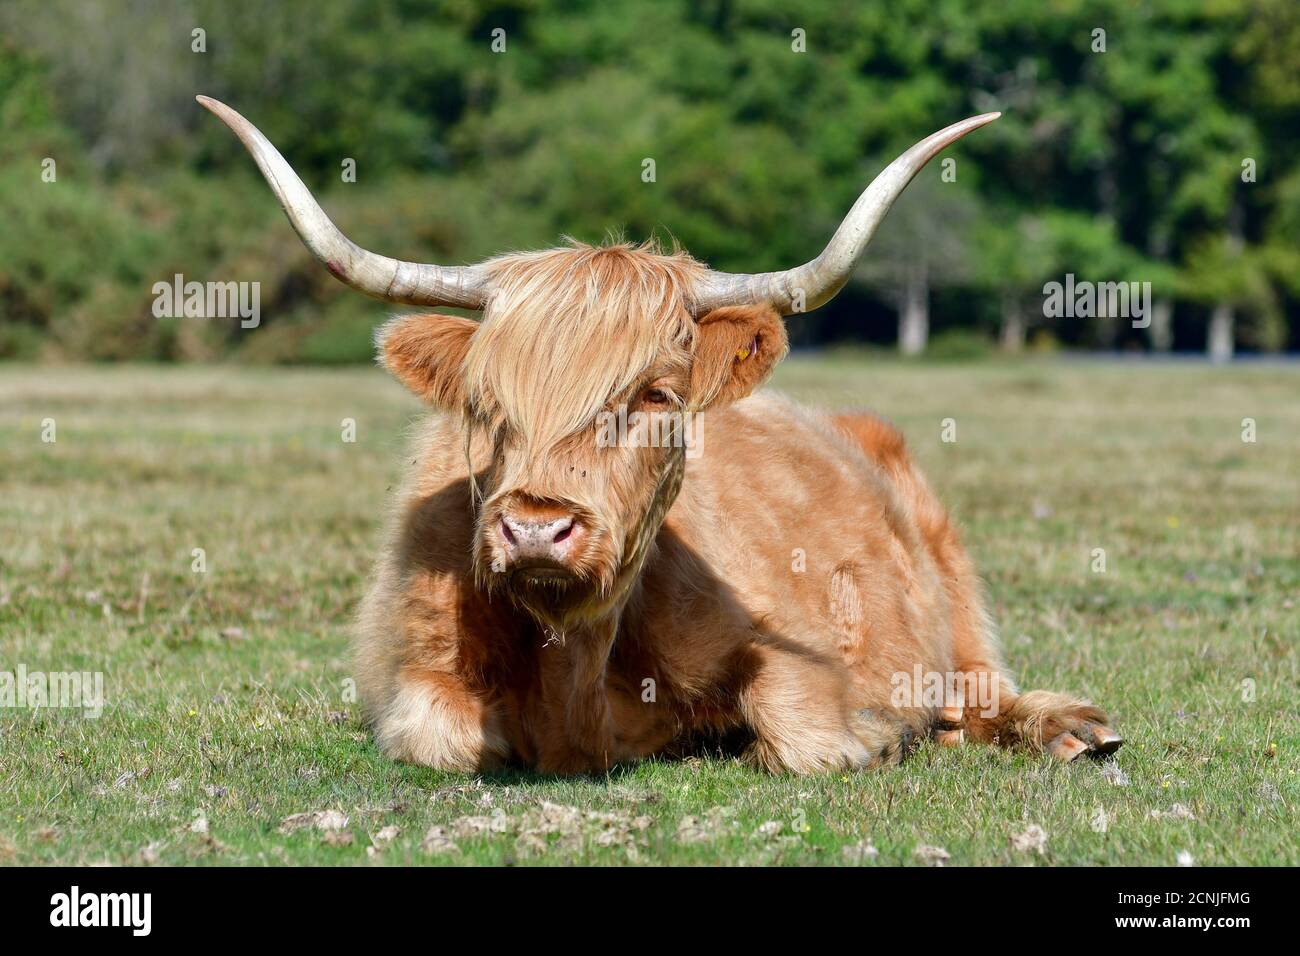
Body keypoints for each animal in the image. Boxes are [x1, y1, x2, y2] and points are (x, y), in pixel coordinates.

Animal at [200, 96, 1122, 774]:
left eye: (654, 394)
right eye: (486, 403)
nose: (536, 527)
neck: (571, 668)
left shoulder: (798, 656)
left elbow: (807, 739)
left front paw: (882, 732)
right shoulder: (409, 674)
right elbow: (442, 735)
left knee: (984, 687)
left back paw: (1075, 728)